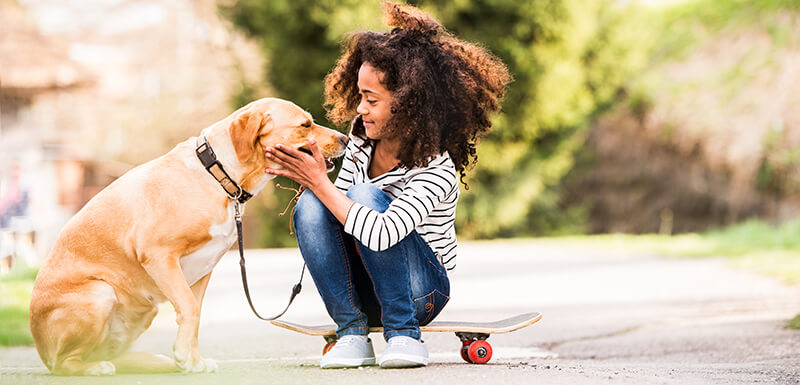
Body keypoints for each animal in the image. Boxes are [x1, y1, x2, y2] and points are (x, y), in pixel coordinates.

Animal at [28, 97, 346, 374]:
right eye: (305, 125)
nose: (345, 139)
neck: (218, 176)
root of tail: (41, 351)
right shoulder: (158, 255)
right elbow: (190, 309)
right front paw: (186, 357)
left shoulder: (204, 269)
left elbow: (195, 311)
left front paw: (192, 361)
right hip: (101, 293)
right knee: (64, 363)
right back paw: (94, 368)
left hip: (144, 310)